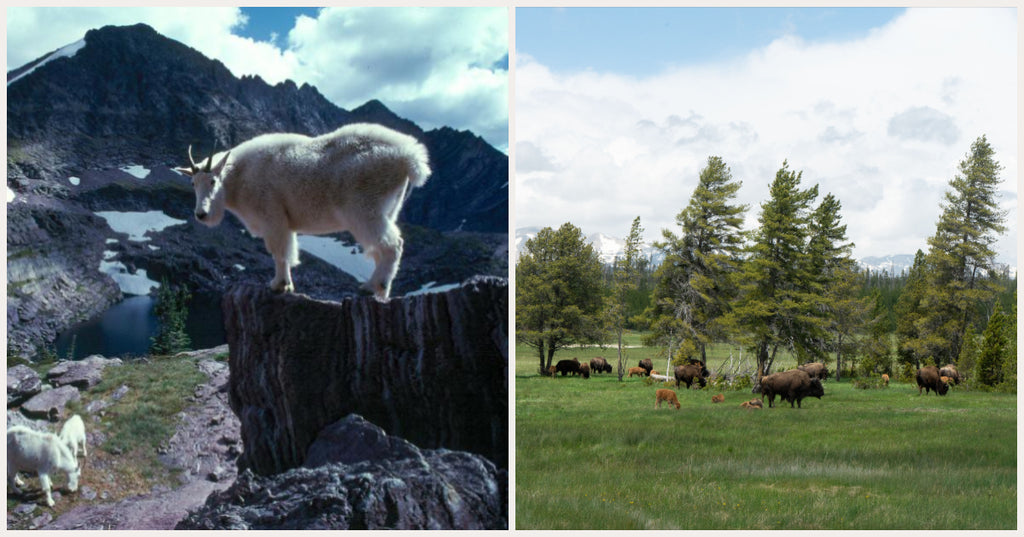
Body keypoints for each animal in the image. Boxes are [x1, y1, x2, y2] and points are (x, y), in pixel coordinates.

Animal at [175, 121, 428, 299]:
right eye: (193, 183)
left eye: (213, 181)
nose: (201, 214)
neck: (238, 177)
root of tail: (409, 157)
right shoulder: (284, 222)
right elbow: (286, 251)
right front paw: (286, 285)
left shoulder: (273, 216)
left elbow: (280, 252)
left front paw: (278, 285)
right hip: (389, 209)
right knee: (380, 250)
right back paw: (381, 291)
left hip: (365, 209)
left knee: (392, 245)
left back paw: (370, 287)